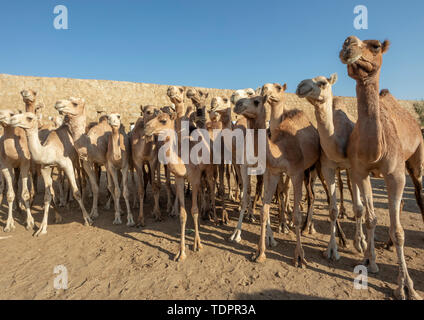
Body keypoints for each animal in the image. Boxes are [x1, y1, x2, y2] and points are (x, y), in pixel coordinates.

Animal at [235, 84, 322, 264]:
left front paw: (299, 256)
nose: (237, 104)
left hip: (313, 168)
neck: (280, 150)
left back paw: (308, 228)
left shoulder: (296, 173)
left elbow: (296, 215)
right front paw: (260, 253)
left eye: (256, 100)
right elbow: (264, 210)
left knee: (315, 196)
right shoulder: (274, 172)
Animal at [342, 35, 424, 300]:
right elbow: (371, 218)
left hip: (415, 160)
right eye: (344, 44)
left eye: (375, 46)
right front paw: (370, 260)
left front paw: (406, 286)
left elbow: (400, 231)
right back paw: (385, 243)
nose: (348, 44)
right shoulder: (360, 172)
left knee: (417, 193)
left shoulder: (395, 174)